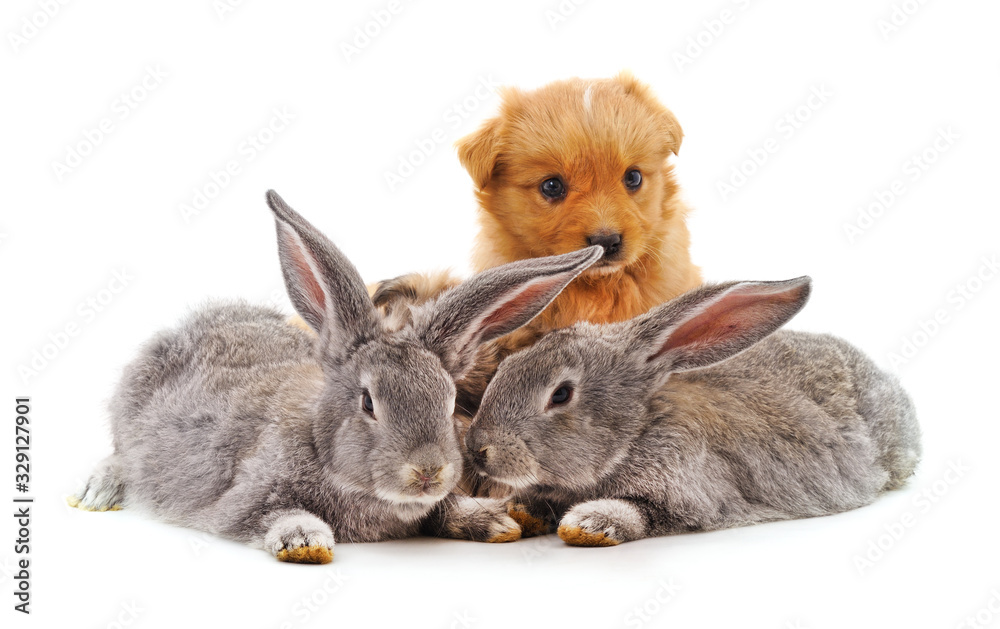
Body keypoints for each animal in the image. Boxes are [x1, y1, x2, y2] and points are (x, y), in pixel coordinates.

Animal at [69, 190, 604, 562]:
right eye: (368, 403)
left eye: (450, 403)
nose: (428, 471)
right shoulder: (244, 501)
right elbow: (274, 515)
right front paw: (305, 541)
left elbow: (446, 509)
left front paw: (493, 523)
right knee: (120, 456)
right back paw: (95, 495)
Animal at [466, 276, 922, 546]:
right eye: (505, 368)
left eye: (561, 395)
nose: (477, 450)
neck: (634, 435)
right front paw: (518, 513)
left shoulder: (691, 499)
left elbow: (640, 513)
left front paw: (588, 525)